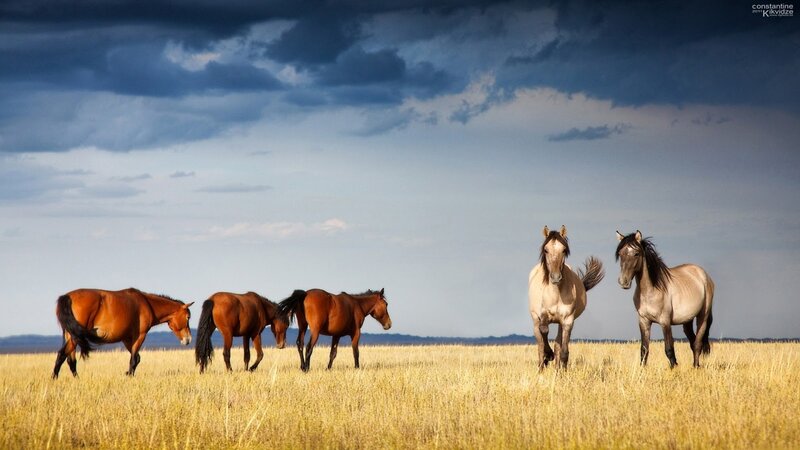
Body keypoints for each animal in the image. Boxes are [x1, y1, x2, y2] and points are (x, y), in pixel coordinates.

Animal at [52, 288, 193, 378]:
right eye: (188, 317)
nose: (188, 339)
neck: (147, 304)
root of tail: (67, 297)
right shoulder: (140, 336)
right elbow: (134, 359)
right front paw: (130, 376)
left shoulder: (126, 339)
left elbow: (137, 358)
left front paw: (128, 374)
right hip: (75, 337)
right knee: (62, 354)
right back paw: (54, 378)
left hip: (72, 336)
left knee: (70, 360)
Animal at [528, 225, 605, 370]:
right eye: (546, 250)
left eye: (564, 250)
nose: (555, 277)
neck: (556, 294)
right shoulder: (543, 315)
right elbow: (544, 331)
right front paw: (549, 355)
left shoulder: (568, 320)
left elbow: (563, 351)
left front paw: (562, 371)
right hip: (535, 320)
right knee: (540, 345)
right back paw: (542, 365)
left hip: (560, 323)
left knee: (558, 344)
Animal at [616, 230, 715, 368]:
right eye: (620, 254)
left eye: (636, 253)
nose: (623, 282)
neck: (650, 290)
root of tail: (703, 274)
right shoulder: (644, 322)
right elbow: (644, 350)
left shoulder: (665, 322)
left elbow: (669, 349)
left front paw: (674, 368)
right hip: (687, 321)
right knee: (693, 342)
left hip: (702, 317)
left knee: (697, 344)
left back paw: (696, 367)